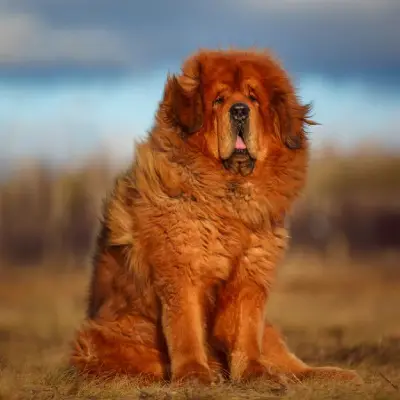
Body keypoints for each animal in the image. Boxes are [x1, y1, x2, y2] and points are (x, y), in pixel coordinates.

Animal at [69, 49, 362, 384]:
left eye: (253, 98)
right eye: (219, 100)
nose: (240, 111)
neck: (229, 198)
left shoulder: (250, 275)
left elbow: (246, 330)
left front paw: (254, 372)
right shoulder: (182, 270)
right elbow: (186, 328)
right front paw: (194, 374)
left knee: (294, 364)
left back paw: (334, 374)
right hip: (107, 334)